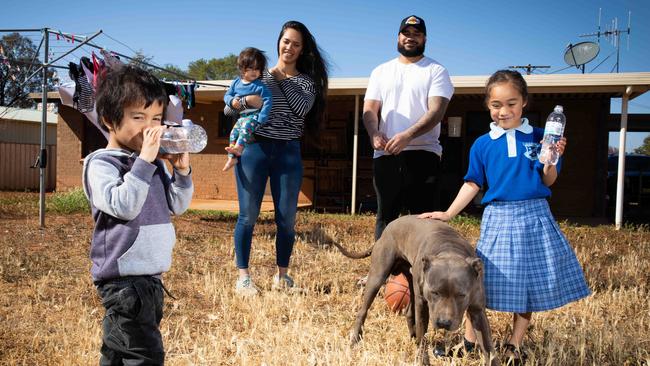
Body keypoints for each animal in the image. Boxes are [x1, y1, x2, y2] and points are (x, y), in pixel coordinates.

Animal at [334, 216, 496, 364]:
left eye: (461, 295)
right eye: (435, 292)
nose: (443, 323)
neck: (450, 251)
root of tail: (387, 229)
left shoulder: (477, 311)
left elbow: (489, 347)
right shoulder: (423, 304)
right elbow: (423, 335)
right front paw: (423, 359)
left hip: (411, 282)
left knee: (408, 313)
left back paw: (412, 337)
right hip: (378, 276)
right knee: (363, 310)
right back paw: (355, 340)